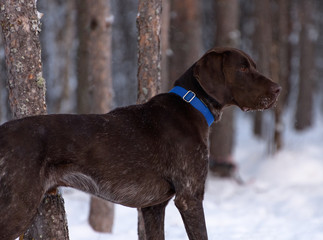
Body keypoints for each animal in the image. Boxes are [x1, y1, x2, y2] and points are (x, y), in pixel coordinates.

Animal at [0, 47, 280, 240]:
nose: (278, 89)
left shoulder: (153, 207)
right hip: (18, 206)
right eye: (242, 69)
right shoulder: (189, 197)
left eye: (253, 66)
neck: (192, 105)